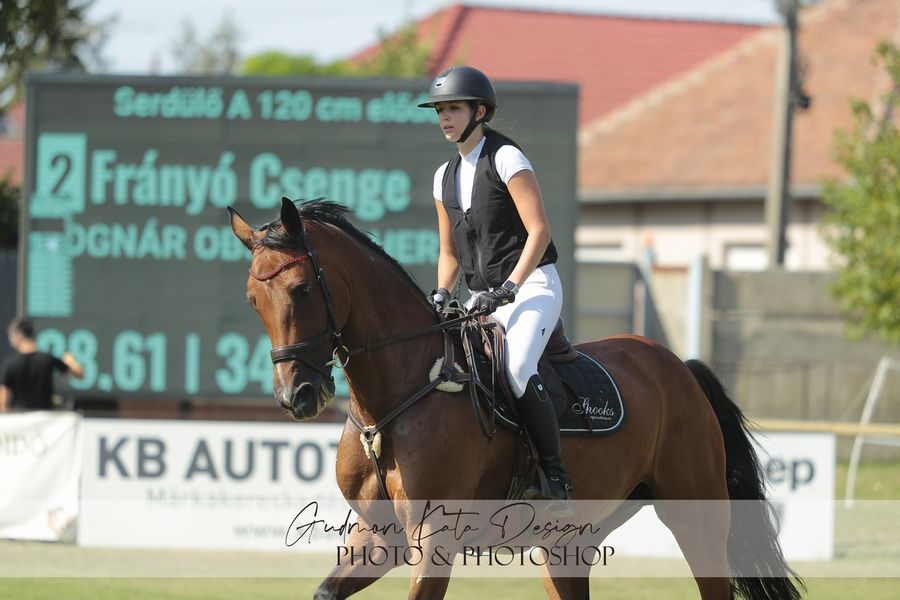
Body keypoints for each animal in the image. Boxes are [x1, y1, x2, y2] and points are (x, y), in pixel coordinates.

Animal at [228, 197, 803, 600]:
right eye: (252, 300)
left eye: (302, 289)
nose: (298, 397)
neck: (396, 400)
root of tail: (678, 367)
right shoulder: (379, 537)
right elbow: (326, 589)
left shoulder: (434, 540)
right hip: (567, 542)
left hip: (695, 516)